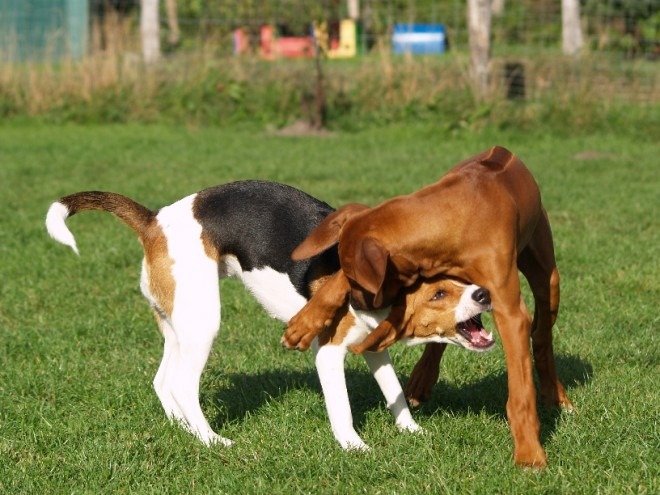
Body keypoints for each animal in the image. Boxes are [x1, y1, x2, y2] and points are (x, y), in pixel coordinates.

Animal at [46, 181, 492, 450]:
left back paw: (185, 431)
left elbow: (393, 391)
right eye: (438, 292)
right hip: (203, 323)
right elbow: (343, 409)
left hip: (179, 325)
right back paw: (212, 440)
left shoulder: (373, 347)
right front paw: (354, 446)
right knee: (183, 386)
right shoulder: (328, 353)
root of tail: (155, 220)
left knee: (163, 382)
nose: (484, 294)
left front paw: (412, 431)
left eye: (460, 279)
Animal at [282, 145, 572, 466]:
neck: (449, 216)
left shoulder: (509, 312)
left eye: (359, 283)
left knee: (542, 334)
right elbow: (335, 286)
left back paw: (555, 394)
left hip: (546, 274)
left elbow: (521, 390)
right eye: (351, 277)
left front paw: (529, 453)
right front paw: (306, 321)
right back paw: (422, 379)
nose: (356, 305)